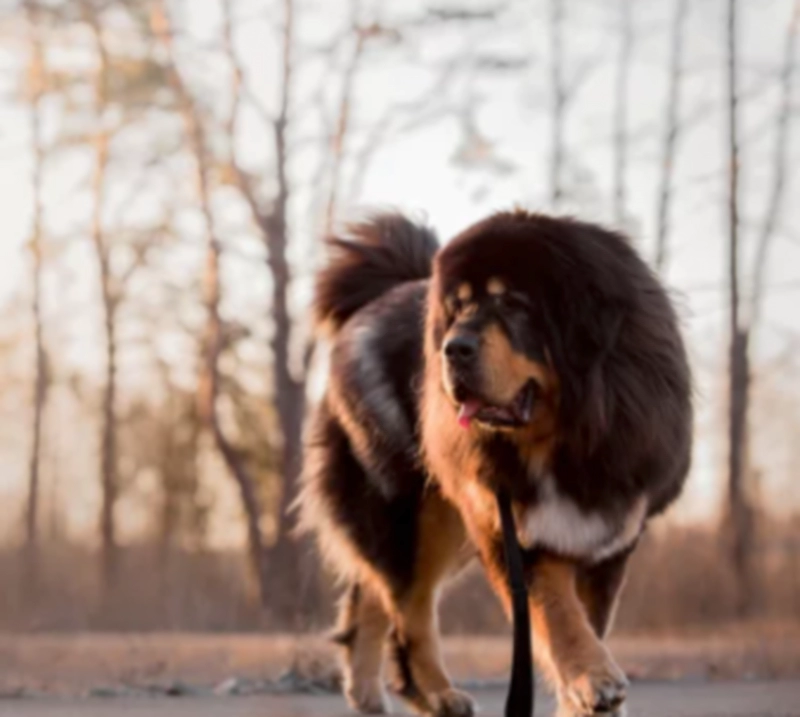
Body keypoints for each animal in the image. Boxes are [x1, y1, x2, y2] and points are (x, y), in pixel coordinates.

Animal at [296, 210, 692, 712]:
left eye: (513, 303)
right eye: (460, 307)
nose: (453, 347)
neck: (567, 438)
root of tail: (377, 298)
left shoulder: (609, 535)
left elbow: (589, 620)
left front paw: (580, 697)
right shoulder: (514, 528)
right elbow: (558, 613)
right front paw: (593, 678)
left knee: (374, 591)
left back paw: (371, 691)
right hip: (415, 510)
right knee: (408, 607)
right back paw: (438, 695)